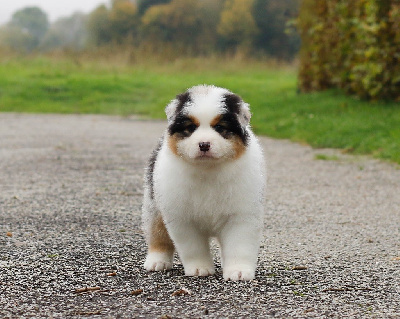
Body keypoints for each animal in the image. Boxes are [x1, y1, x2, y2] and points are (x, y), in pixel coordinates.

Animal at [142, 85, 264, 282]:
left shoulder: (241, 214)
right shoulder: (182, 218)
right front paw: (200, 268)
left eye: (220, 127)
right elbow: (193, 247)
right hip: (153, 201)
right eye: (191, 127)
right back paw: (156, 261)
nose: (204, 144)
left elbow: (239, 244)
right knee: (156, 230)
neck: (208, 170)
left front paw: (238, 271)